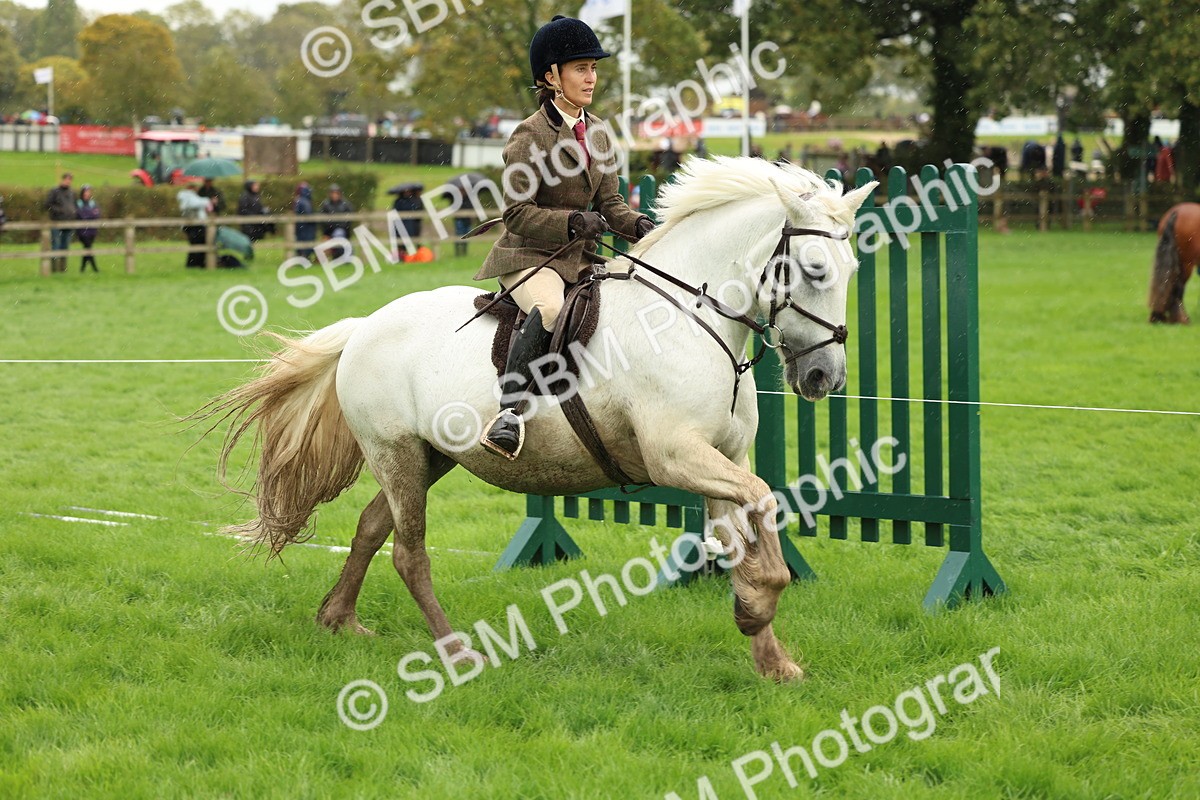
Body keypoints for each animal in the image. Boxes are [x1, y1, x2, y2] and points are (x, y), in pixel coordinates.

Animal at [196, 156, 876, 682]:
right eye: (815, 270)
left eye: (851, 273)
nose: (825, 378)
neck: (688, 317)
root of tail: (365, 327)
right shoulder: (677, 458)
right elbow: (763, 502)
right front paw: (761, 602)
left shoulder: (723, 458)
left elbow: (747, 525)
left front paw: (769, 651)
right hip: (396, 452)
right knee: (409, 553)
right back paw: (457, 654)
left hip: (430, 457)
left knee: (369, 528)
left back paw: (339, 619)